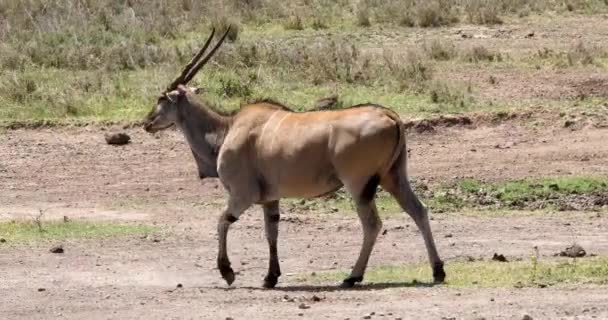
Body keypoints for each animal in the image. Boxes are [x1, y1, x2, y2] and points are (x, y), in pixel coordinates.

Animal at [144, 26, 444, 288]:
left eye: (161, 98)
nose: (147, 122)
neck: (226, 129)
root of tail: (389, 115)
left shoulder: (242, 195)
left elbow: (221, 222)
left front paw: (228, 272)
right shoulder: (270, 200)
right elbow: (271, 233)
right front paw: (270, 277)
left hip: (359, 185)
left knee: (372, 224)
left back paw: (352, 276)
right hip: (394, 177)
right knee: (418, 210)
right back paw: (438, 270)